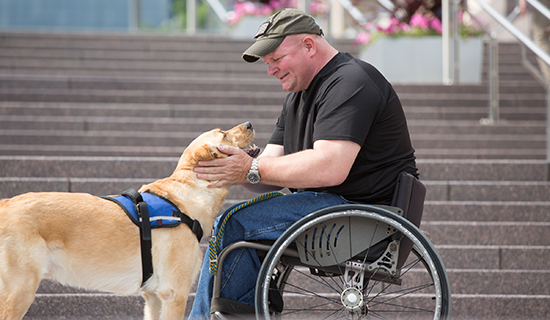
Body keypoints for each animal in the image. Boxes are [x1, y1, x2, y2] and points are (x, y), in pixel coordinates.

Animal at [0, 121, 258, 318]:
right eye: (223, 133)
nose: (249, 123)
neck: (185, 196)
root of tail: (5, 204)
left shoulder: (154, 297)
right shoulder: (174, 294)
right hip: (19, 291)